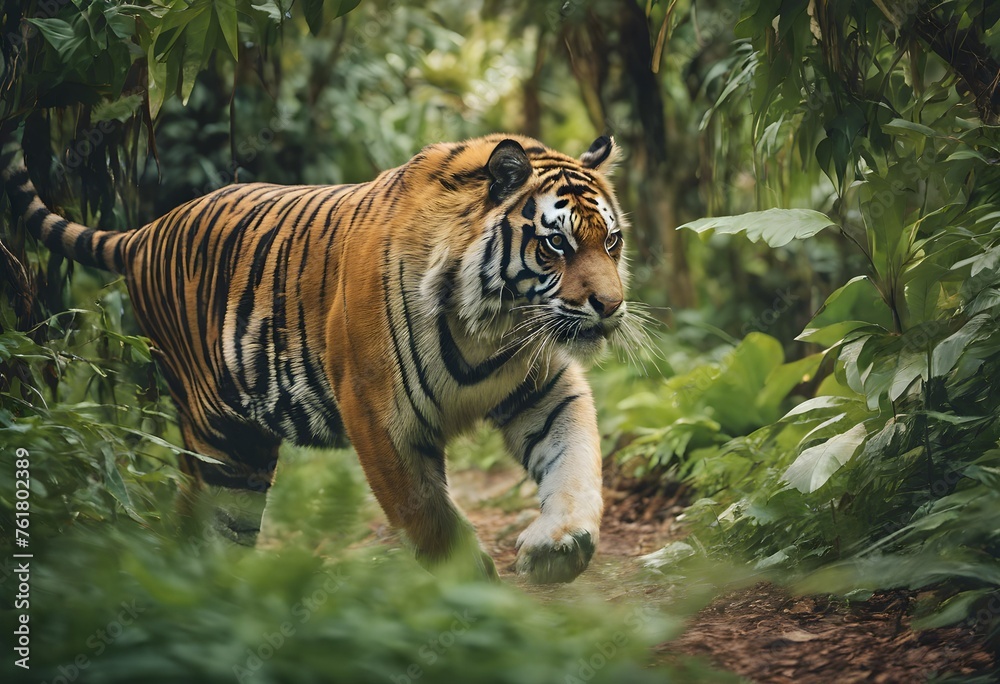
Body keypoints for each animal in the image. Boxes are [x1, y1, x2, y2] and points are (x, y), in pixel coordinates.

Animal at [1, 131, 639, 583]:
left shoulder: (544, 389)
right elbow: (426, 515)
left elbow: (574, 461)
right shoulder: (375, 411)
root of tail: (145, 231)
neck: (493, 325)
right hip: (220, 436)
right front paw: (473, 588)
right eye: (555, 244)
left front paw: (560, 547)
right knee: (205, 523)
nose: (611, 306)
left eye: (611, 241)